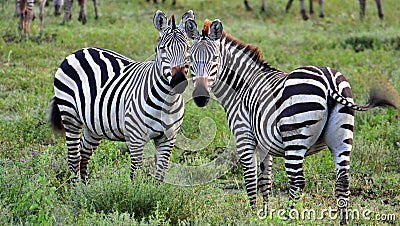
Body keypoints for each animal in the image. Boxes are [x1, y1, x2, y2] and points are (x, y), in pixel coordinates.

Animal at [47, 9, 195, 185]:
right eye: (162, 49)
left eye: (187, 48)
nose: (179, 80)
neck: (168, 102)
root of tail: (79, 51)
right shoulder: (136, 138)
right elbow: (135, 173)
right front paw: (135, 191)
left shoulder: (168, 138)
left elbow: (160, 174)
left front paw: (156, 191)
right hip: (70, 114)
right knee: (74, 157)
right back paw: (76, 189)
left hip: (93, 124)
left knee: (84, 152)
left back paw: (86, 187)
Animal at [184, 19, 396, 224]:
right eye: (190, 60)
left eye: (215, 59)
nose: (200, 98)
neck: (242, 86)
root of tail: (329, 82)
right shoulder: (264, 143)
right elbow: (265, 181)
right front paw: (265, 216)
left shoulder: (244, 135)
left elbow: (250, 179)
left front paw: (253, 216)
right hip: (342, 137)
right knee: (342, 181)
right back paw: (342, 222)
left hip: (295, 138)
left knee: (297, 181)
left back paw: (288, 218)